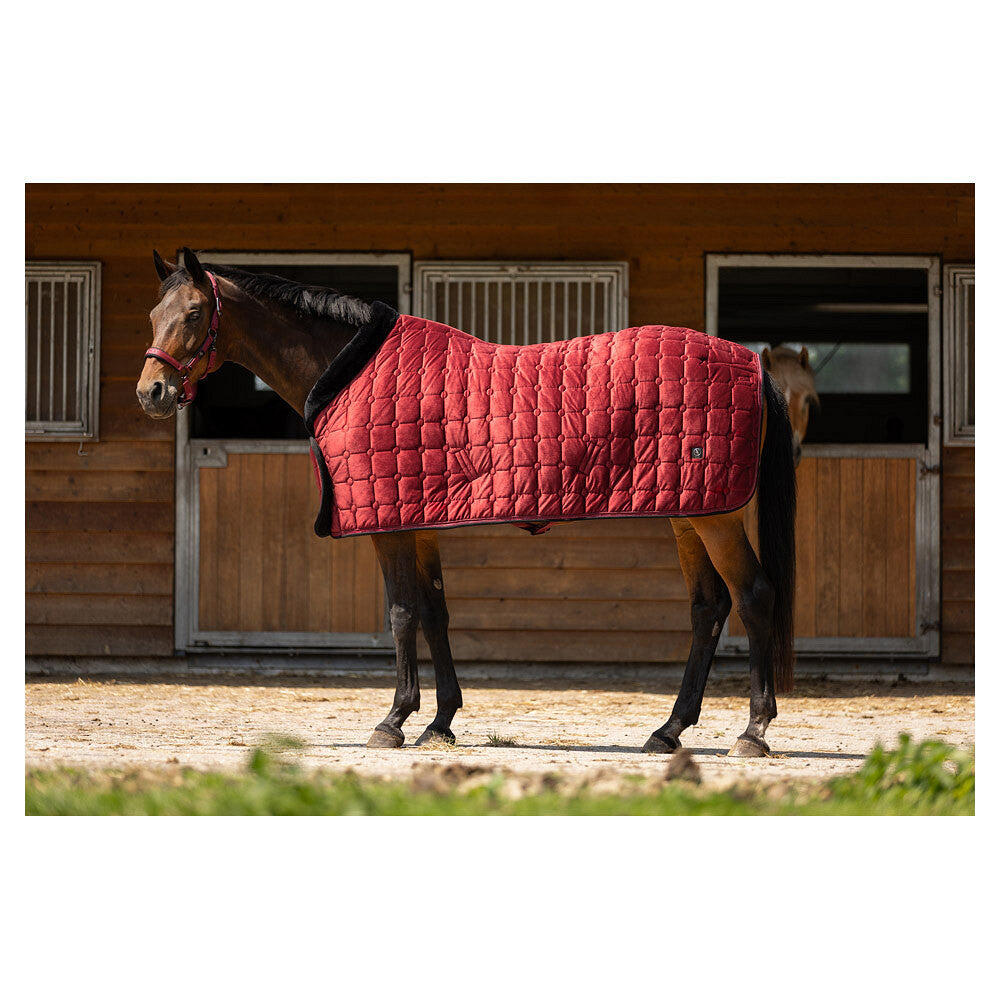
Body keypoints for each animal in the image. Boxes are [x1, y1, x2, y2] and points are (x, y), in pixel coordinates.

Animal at [137, 248, 796, 758]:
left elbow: (402, 612)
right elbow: (435, 612)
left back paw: (753, 732)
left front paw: (394, 721)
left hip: (715, 517)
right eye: (152, 314)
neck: (351, 369)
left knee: (754, 596)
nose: (152, 392)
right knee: (708, 608)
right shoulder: (420, 519)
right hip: (688, 511)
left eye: (193, 313)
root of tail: (751, 362)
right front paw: (439, 722)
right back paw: (668, 731)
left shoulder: (390, 524)